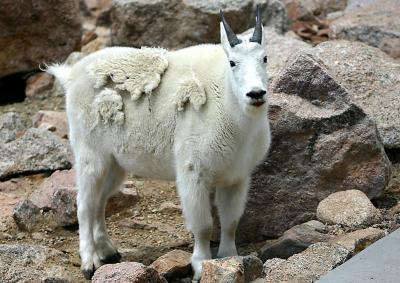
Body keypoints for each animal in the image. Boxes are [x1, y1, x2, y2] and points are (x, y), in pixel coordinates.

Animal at [48, 7, 270, 282]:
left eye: (265, 58)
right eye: (232, 63)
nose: (256, 94)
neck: (231, 109)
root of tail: (71, 76)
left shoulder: (236, 176)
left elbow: (230, 221)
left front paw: (229, 258)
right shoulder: (192, 170)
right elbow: (204, 225)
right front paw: (200, 266)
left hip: (114, 162)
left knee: (100, 201)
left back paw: (108, 252)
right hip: (90, 152)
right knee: (84, 204)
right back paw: (89, 262)